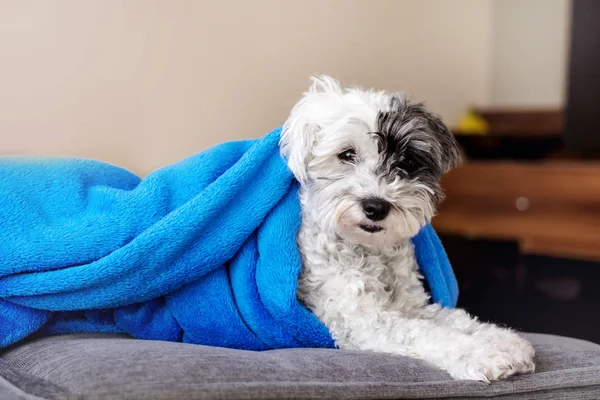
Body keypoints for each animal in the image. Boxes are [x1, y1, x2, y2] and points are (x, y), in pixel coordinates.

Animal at [278, 76, 536, 382]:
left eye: (408, 161)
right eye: (347, 154)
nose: (376, 206)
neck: (371, 252)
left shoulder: (413, 306)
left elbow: (456, 319)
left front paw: (504, 340)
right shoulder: (362, 321)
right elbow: (426, 333)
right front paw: (484, 354)